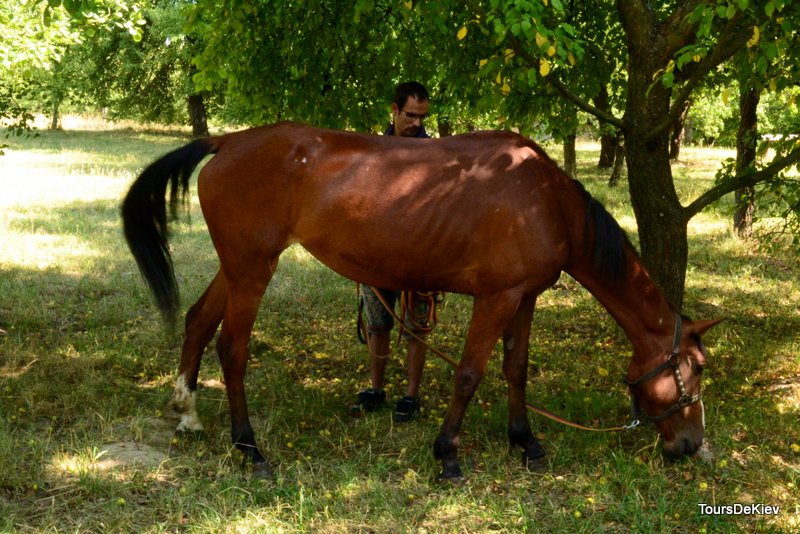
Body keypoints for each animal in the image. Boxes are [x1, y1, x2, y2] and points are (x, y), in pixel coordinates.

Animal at [122, 123, 720, 484]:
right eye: (694, 370)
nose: (693, 444)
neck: (546, 201)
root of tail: (230, 140)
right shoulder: (496, 298)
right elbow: (470, 374)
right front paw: (448, 454)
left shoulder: (524, 297)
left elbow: (516, 368)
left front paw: (525, 442)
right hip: (252, 269)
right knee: (233, 348)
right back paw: (249, 448)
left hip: (238, 266)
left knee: (198, 321)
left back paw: (187, 414)